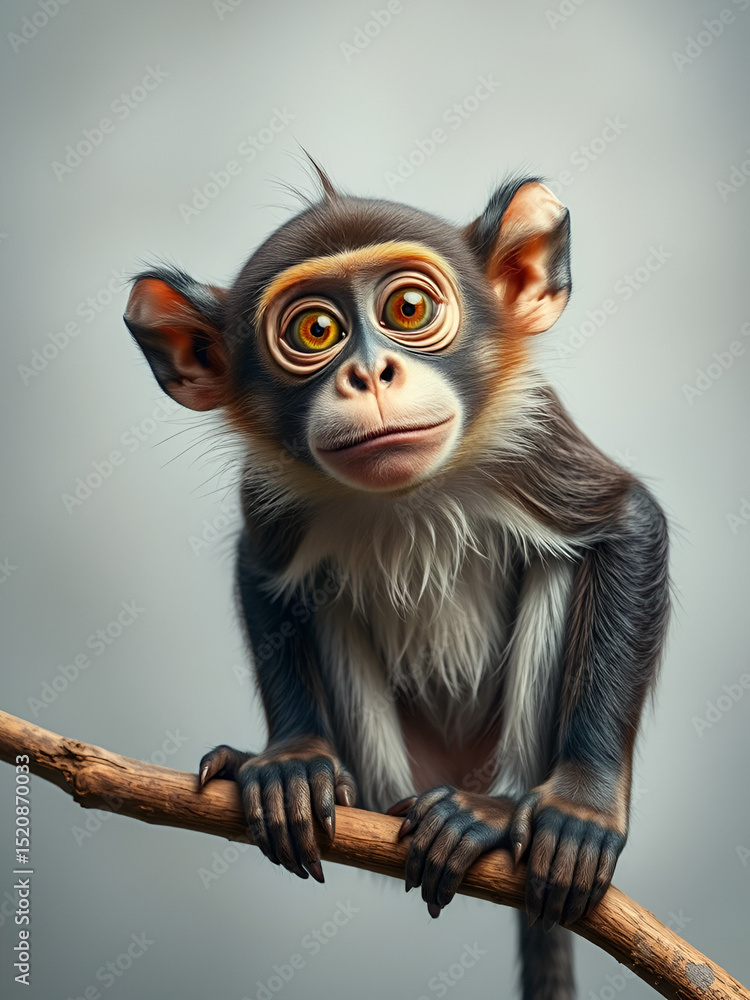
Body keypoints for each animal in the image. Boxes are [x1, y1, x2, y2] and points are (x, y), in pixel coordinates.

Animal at [123, 165, 670, 1000]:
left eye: (408, 309)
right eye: (316, 331)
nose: (369, 372)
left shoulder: (534, 435)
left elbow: (627, 523)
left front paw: (582, 806)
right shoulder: (272, 494)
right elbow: (266, 574)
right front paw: (292, 759)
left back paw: (497, 811)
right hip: (395, 768)